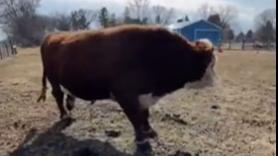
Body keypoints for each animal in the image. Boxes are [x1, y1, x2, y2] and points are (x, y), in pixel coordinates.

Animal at [37, 24, 218, 149]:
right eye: (211, 63)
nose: (216, 80)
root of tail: (53, 34)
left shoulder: (144, 95)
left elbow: (144, 115)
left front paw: (149, 131)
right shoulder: (125, 95)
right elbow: (136, 118)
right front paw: (142, 140)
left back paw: (70, 105)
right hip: (53, 78)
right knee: (58, 94)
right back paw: (64, 115)